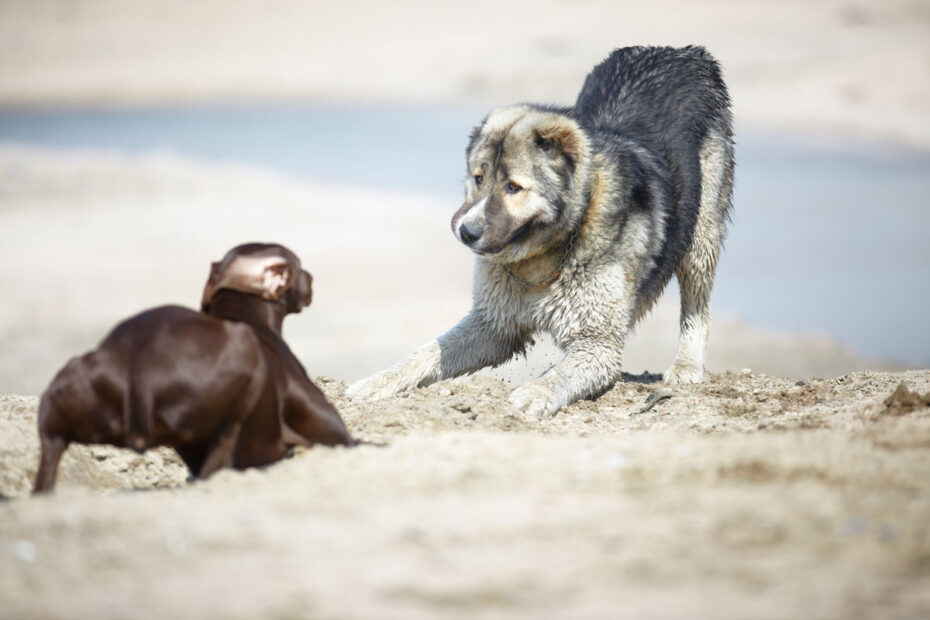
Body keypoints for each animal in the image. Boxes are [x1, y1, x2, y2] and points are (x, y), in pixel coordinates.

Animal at [32, 243, 352, 494]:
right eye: (298, 265)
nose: (311, 277)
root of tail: (139, 367)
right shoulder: (336, 434)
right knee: (218, 463)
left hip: (63, 396)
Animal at [348, 46, 732, 416]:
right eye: (478, 179)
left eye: (513, 187)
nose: (465, 232)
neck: (549, 252)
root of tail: (680, 51)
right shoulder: (493, 324)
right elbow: (427, 352)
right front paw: (376, 382)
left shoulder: (597, 344)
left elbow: (561, 374)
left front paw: (533, 393)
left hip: (701, 234)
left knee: (697, 301)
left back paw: (687, 366)